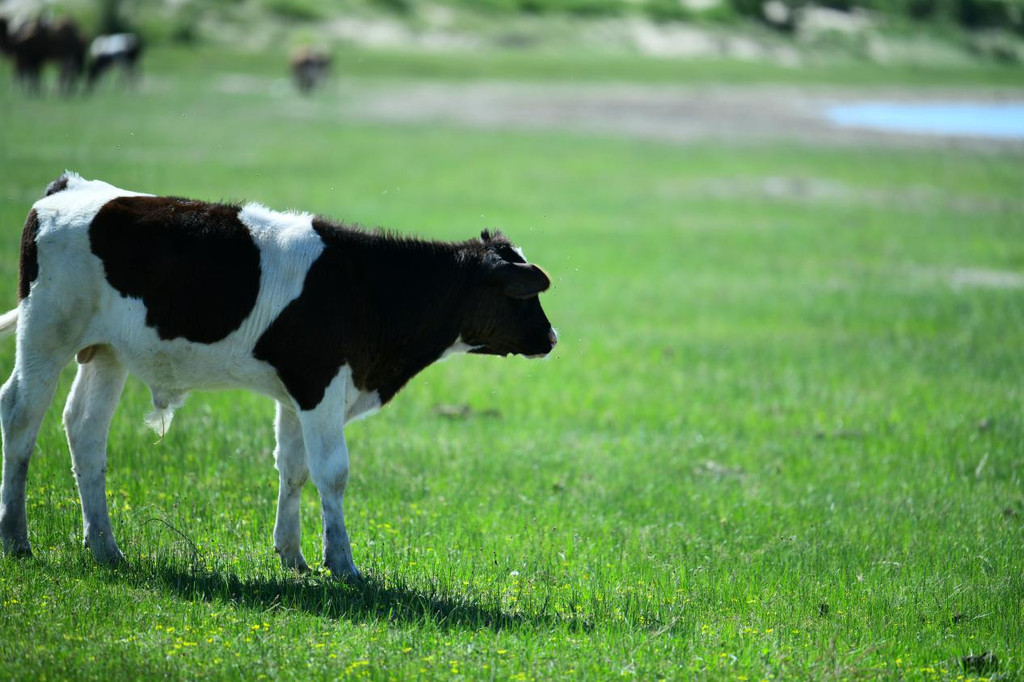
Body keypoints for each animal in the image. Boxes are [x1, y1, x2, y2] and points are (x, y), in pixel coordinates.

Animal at [0, 171, 557, 577]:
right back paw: (17, 538)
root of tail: (71, 188)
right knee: (22, 417)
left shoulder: (297, 395)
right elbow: (332, 473)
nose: (552, 338)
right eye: (524, 295)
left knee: (85, 431)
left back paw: (104, 548)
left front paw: (292, 555)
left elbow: (294, 469)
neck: (365, 287)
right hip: (45, 334)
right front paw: (343, 564)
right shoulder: (319, 385)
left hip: (107, 353)